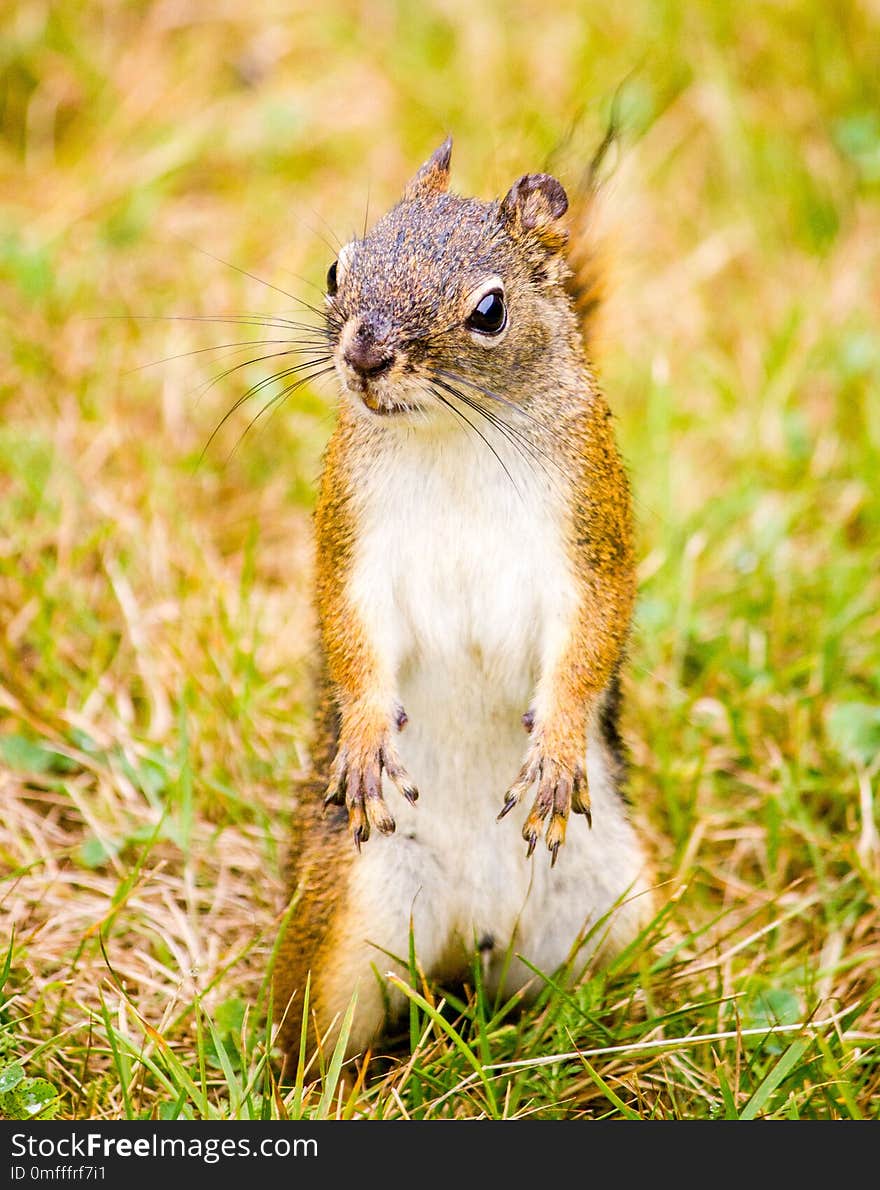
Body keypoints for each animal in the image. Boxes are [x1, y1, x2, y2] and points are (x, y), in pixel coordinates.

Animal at [275, 135, 652, 1066]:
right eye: (337, 270)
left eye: (489, 311)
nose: (365, 356)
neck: (453, 435)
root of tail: (467, 939)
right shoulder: (353, 534)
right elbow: (349, 628)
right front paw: (366, 738)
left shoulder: (591, 531)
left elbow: (591, 634)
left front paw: (556, 749)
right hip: (346, 923)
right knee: (322, 1038)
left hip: (611, 912)